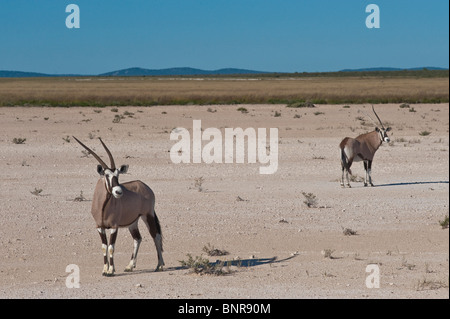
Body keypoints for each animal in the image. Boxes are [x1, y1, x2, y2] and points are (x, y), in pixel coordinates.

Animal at [73, 136, 164, 276]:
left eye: (118, 175)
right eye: (106, 175)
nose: (118, 191)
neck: (103, 207)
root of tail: (144, 186)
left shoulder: (114, 227)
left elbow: (111, 247)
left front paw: (110, 270)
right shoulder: (100, 227)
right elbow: (104, 247)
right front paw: (105, 269)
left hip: (147, 215)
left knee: (156, 236)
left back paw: (159, 265)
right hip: (133, 222)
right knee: (137, 238)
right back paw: (130, 266)